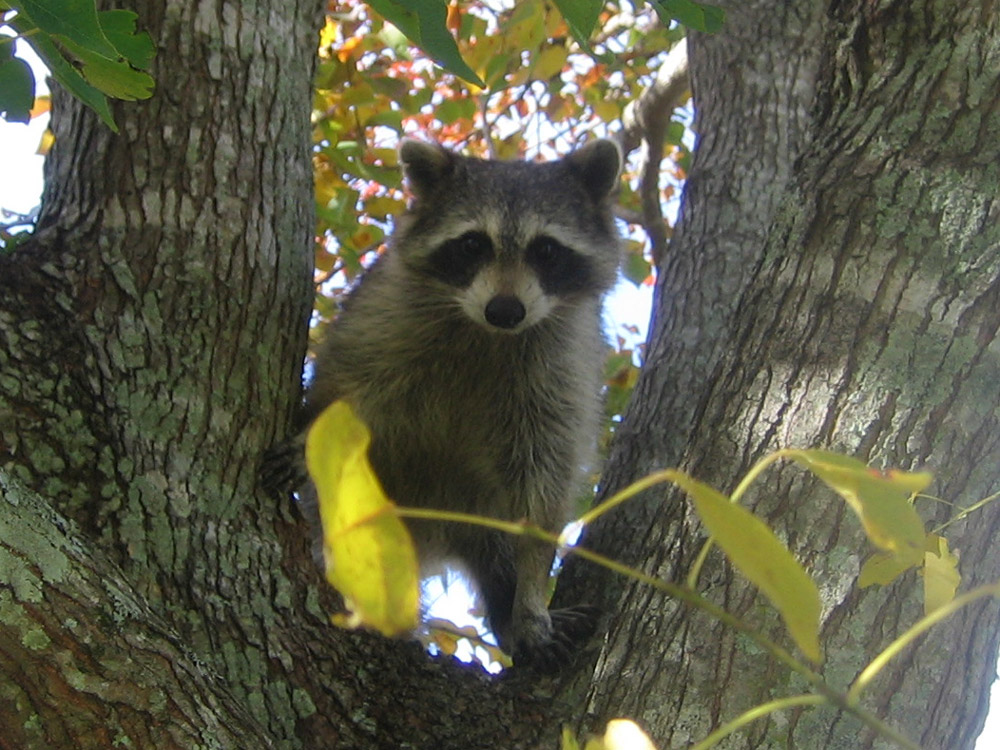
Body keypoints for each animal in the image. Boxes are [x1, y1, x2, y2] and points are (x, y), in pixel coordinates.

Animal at [262, 141, 620, 668]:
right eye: (473, 245)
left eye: (546, 250)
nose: (505, 310)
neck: (487, 333)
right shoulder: (385, 319)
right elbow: (346, 395)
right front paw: (311, 441)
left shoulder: (559, 372)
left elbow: (542, 489)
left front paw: (530, 600)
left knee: (496, 545)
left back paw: (504, 604)